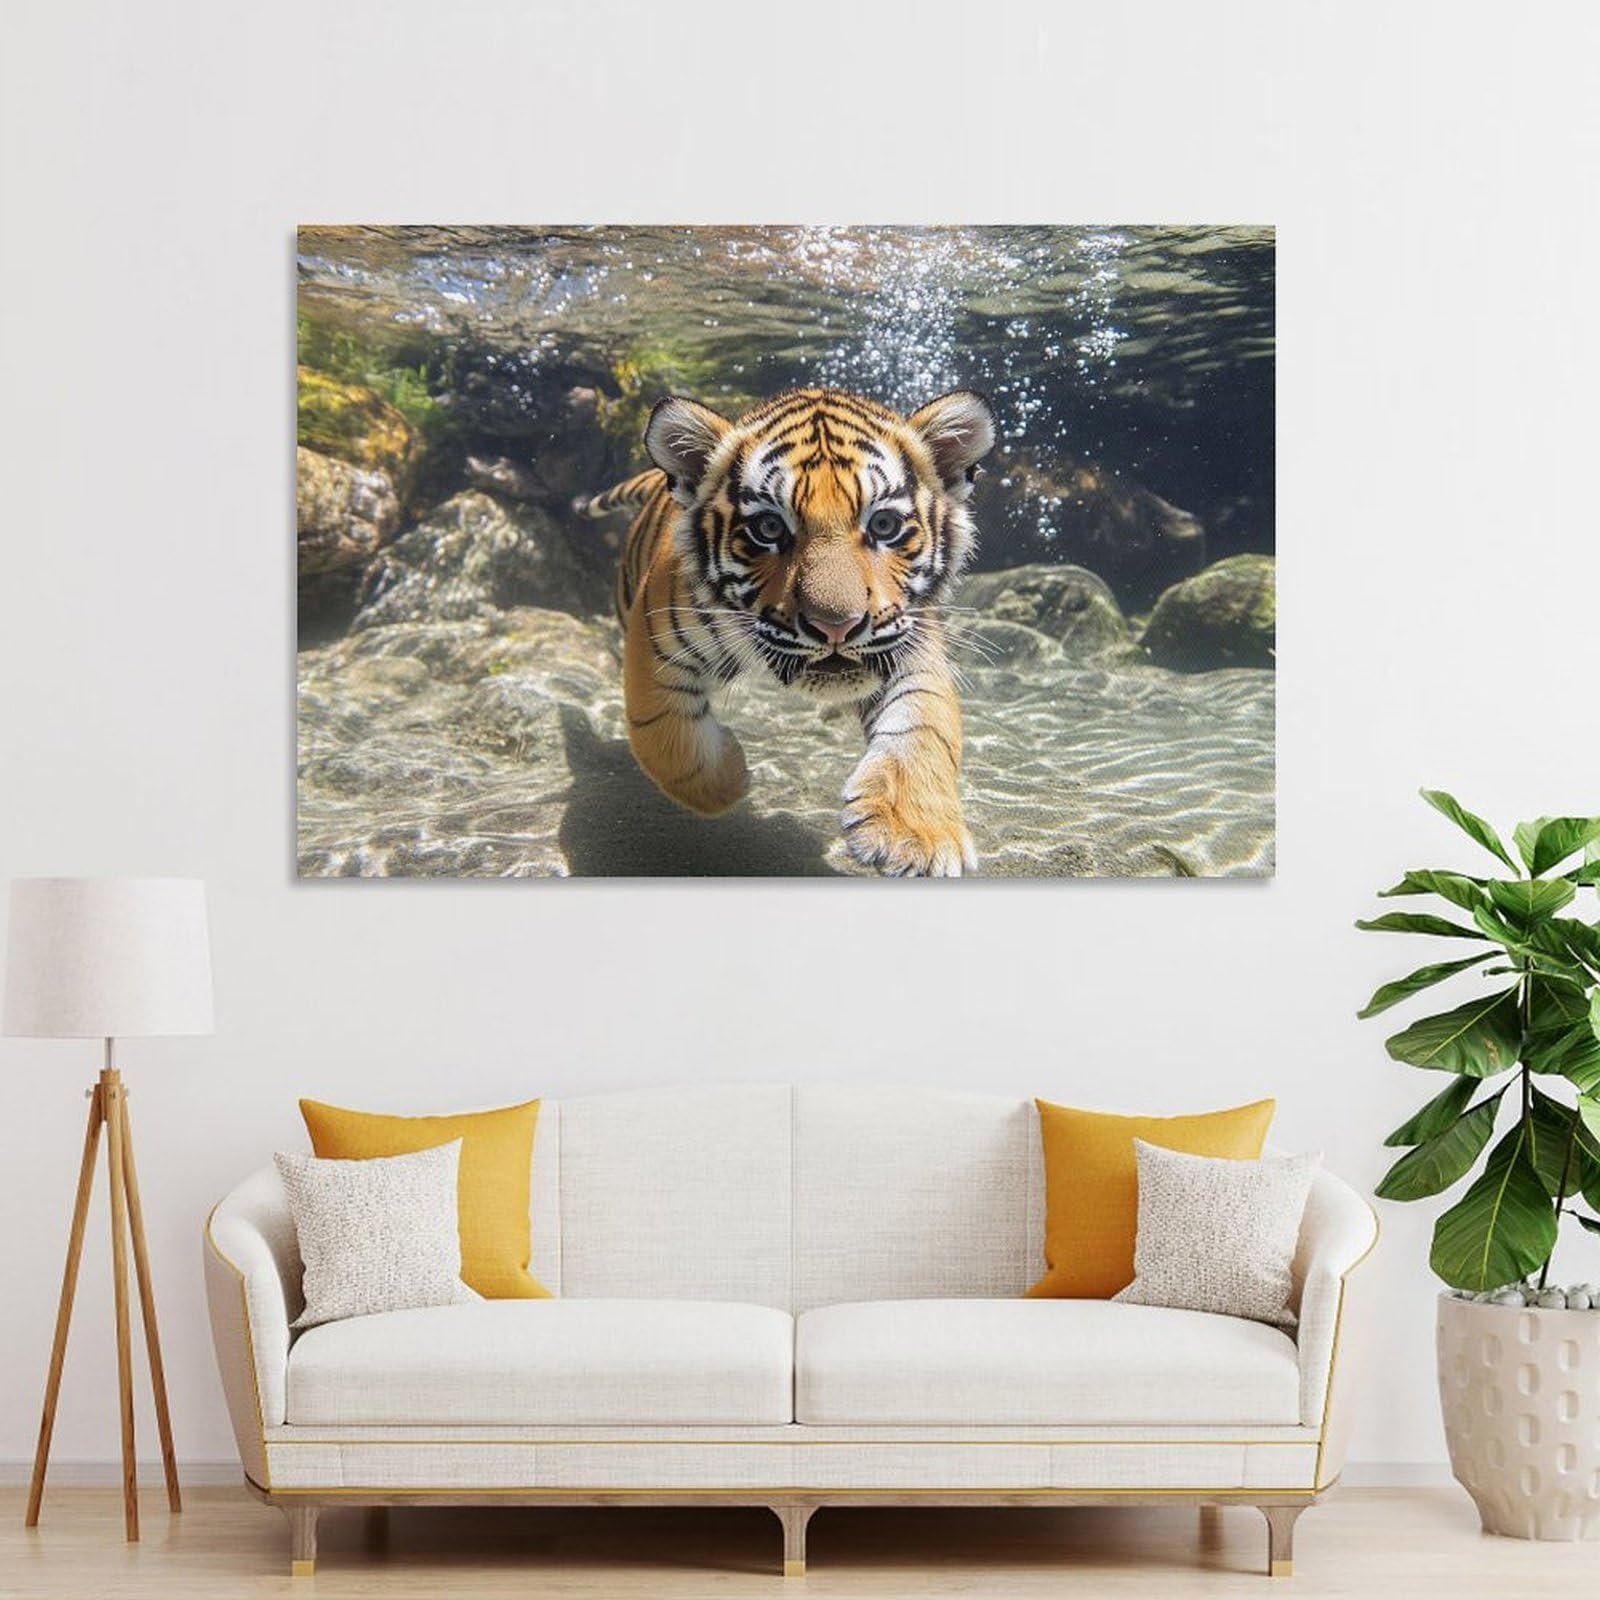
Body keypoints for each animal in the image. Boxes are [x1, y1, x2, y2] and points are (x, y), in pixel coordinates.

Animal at [577, 386, 996, 876]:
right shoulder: (655, 649)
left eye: (884, 525)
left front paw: (915, 836)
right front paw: (731, 776)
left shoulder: (909, 641)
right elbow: (666, 740)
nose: (836, 625)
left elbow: (924, 729)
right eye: (769, 528)